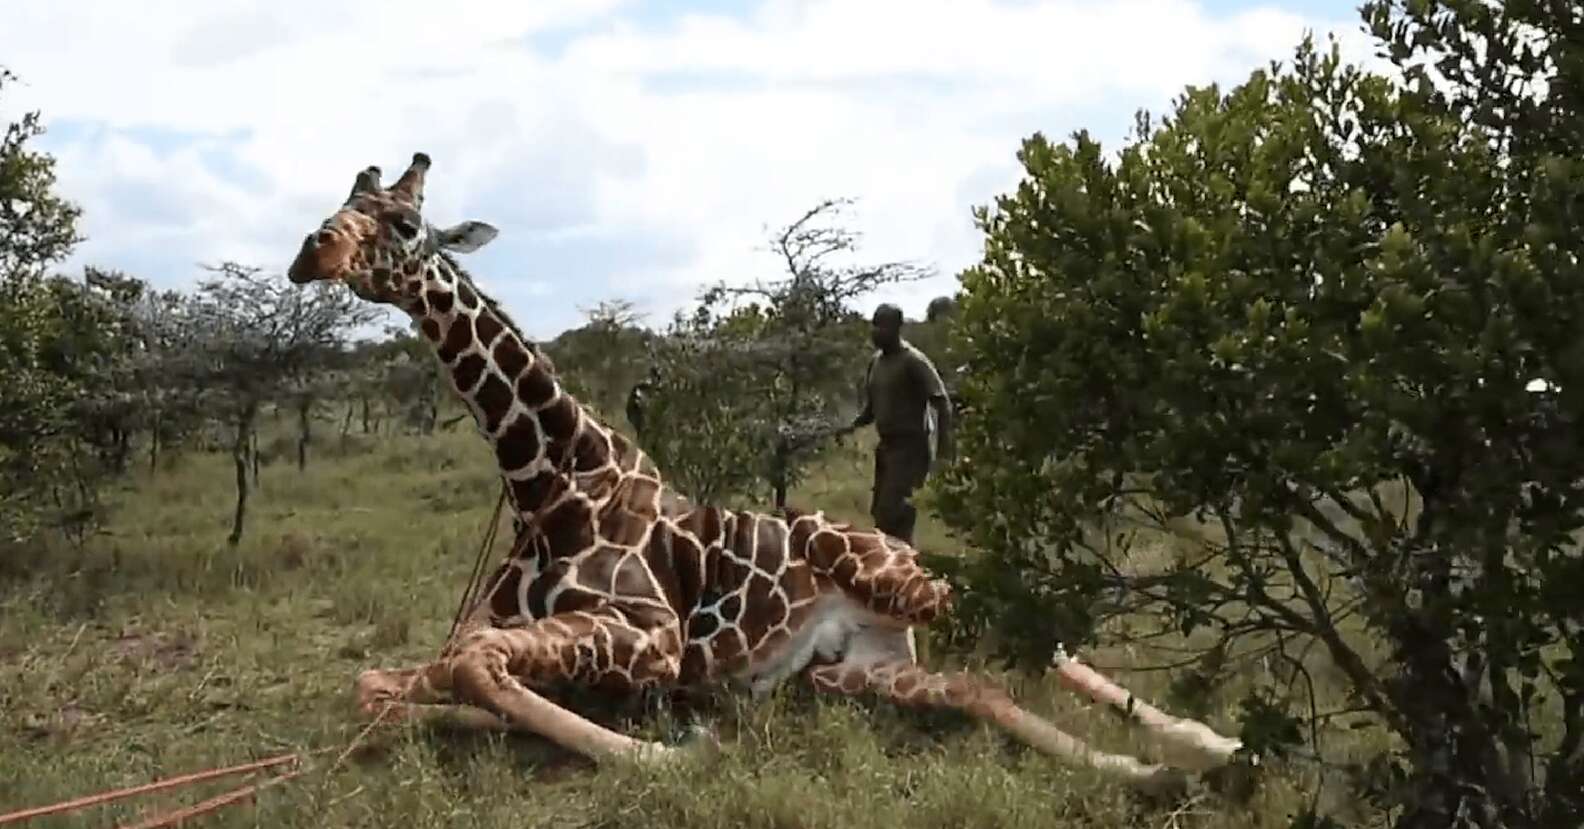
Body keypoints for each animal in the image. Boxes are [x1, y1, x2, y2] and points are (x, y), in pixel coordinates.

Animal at [285, 152, 1248, 795]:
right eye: (341, 201)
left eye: (405, 225)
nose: (311, 252)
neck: (547, 480)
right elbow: (392, 682)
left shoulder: (652, 633)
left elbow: (477, 664)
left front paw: (673, 753)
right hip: (851, 670)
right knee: (976, 684)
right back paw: (1148, 771)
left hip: (885, 567)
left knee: (1032, 629)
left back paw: (1211, 743)